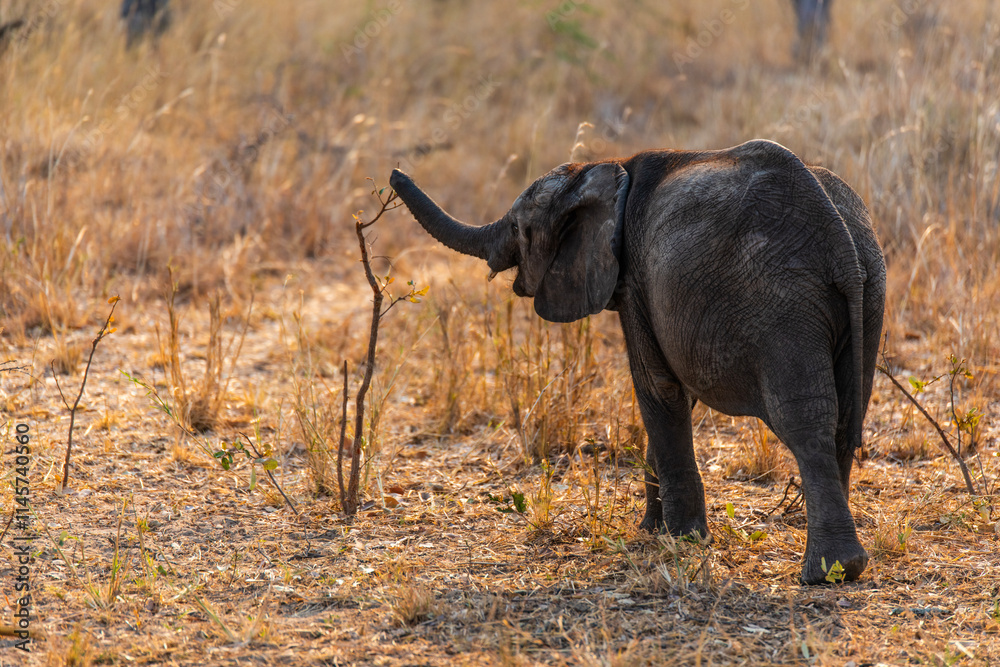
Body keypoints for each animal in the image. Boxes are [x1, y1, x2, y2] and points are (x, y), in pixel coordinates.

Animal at [389, 139, 885, 584]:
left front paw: (681, 539)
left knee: (805, 421)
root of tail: (839, 240)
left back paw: (829, 572)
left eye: (519, 229)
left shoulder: (635, 280)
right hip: (869, 292)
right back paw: (840, 564)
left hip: (781, 303)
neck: (605, 168)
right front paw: (653, 529)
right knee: (846, 416)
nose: (394, 172)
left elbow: (657, 388)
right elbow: (674, 395)